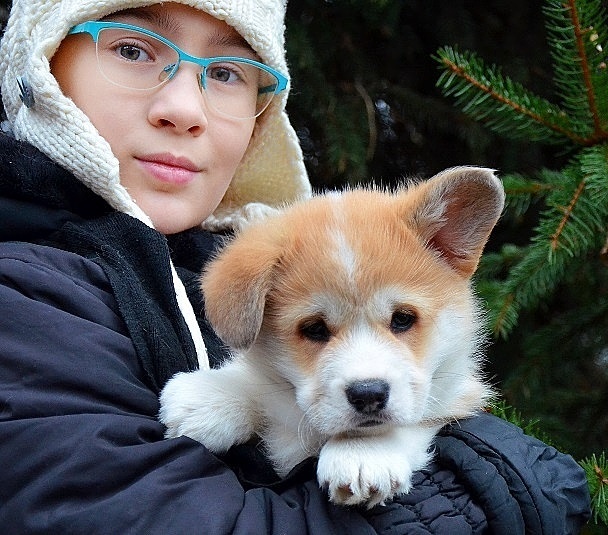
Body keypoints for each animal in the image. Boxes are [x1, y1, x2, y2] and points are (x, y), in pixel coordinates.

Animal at [159, 166, 504, 508]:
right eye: (314, 328)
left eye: (403, 319)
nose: (369, 394)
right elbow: (263, 391)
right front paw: (210, 396)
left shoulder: (461, 395)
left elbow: (419, 422)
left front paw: (363, 454)